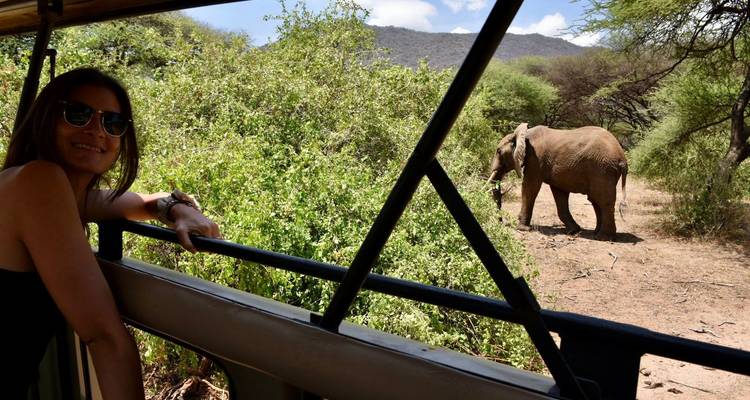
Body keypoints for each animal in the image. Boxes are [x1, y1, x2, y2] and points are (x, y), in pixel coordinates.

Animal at [487, 123, 628, 241]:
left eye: (498, 151)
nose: (501, 222)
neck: (522, 134)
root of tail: (623, 158)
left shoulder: (535, 160)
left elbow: (530, 187)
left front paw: (522, 228)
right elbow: (559, 193)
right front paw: (574, 231)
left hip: (602, 170)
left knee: (603, 201)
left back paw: (603, 237)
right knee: (595, 200)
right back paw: (596, 233)